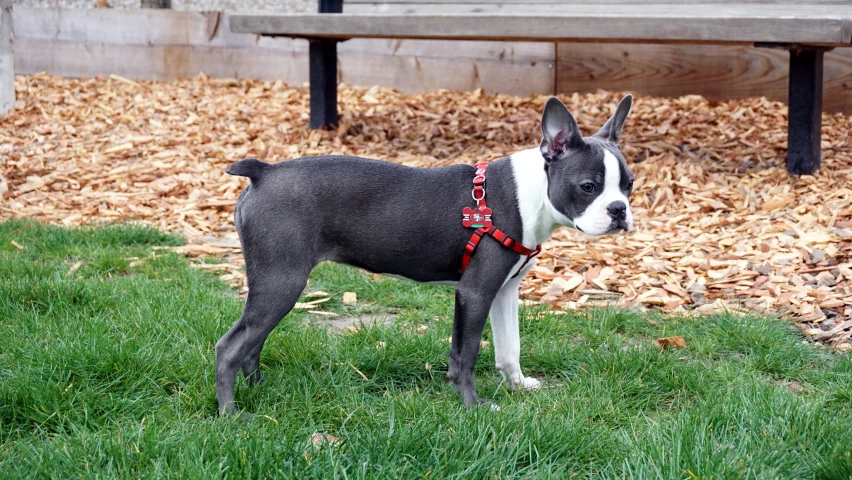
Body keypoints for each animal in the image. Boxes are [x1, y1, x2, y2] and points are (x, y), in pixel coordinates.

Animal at [218, 95, 632, 414]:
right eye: (589, 187)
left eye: (629, 185)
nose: (619, 210)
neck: (533, 192)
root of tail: (264, 172)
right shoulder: (475, 293)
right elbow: (465, 354)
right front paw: (473, 406)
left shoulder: (504, 292)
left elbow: (508, 346)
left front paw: (517, 385)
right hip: (282, 281)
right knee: (230, 347)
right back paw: (232, 413)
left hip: (276, 286)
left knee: (252, 342)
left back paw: (260, 389)